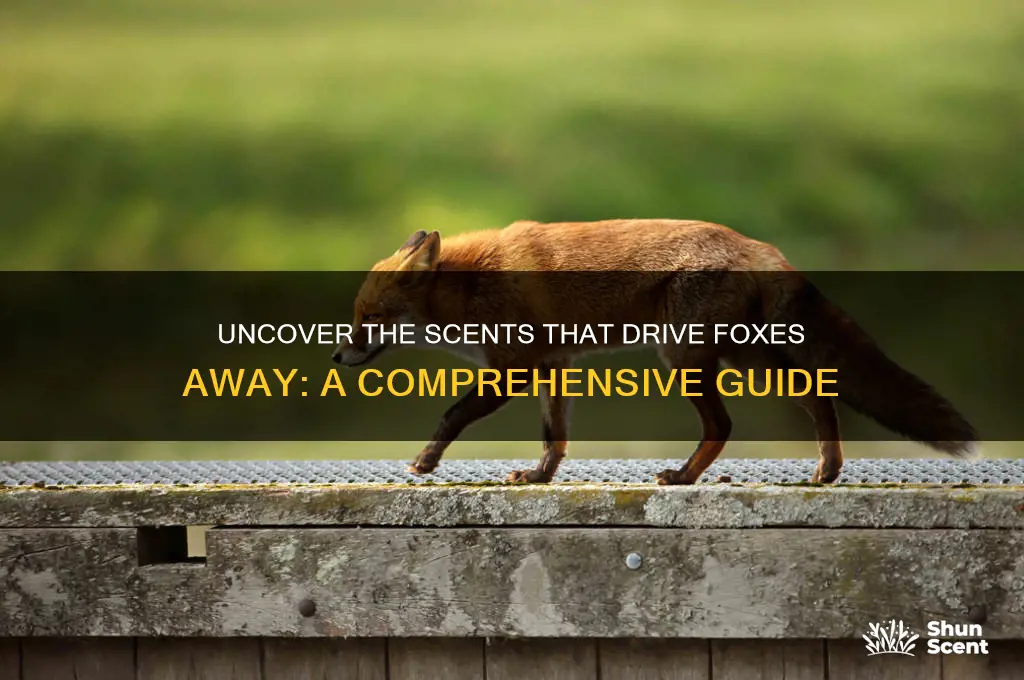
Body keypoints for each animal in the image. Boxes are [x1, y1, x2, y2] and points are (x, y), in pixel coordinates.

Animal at [332, 219, 978, 485]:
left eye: (368, 319)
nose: (337, 358)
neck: (470, 285)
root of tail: (761, 246)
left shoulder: (514, 371)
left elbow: (451, 416)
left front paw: (424, 462)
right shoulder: (555, 367)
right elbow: (555, 438)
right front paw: (538, 477)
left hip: (686, 360)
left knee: (725, 424)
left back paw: (684, 478)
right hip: (745, 357)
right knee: (815, 394)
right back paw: (826, 470)